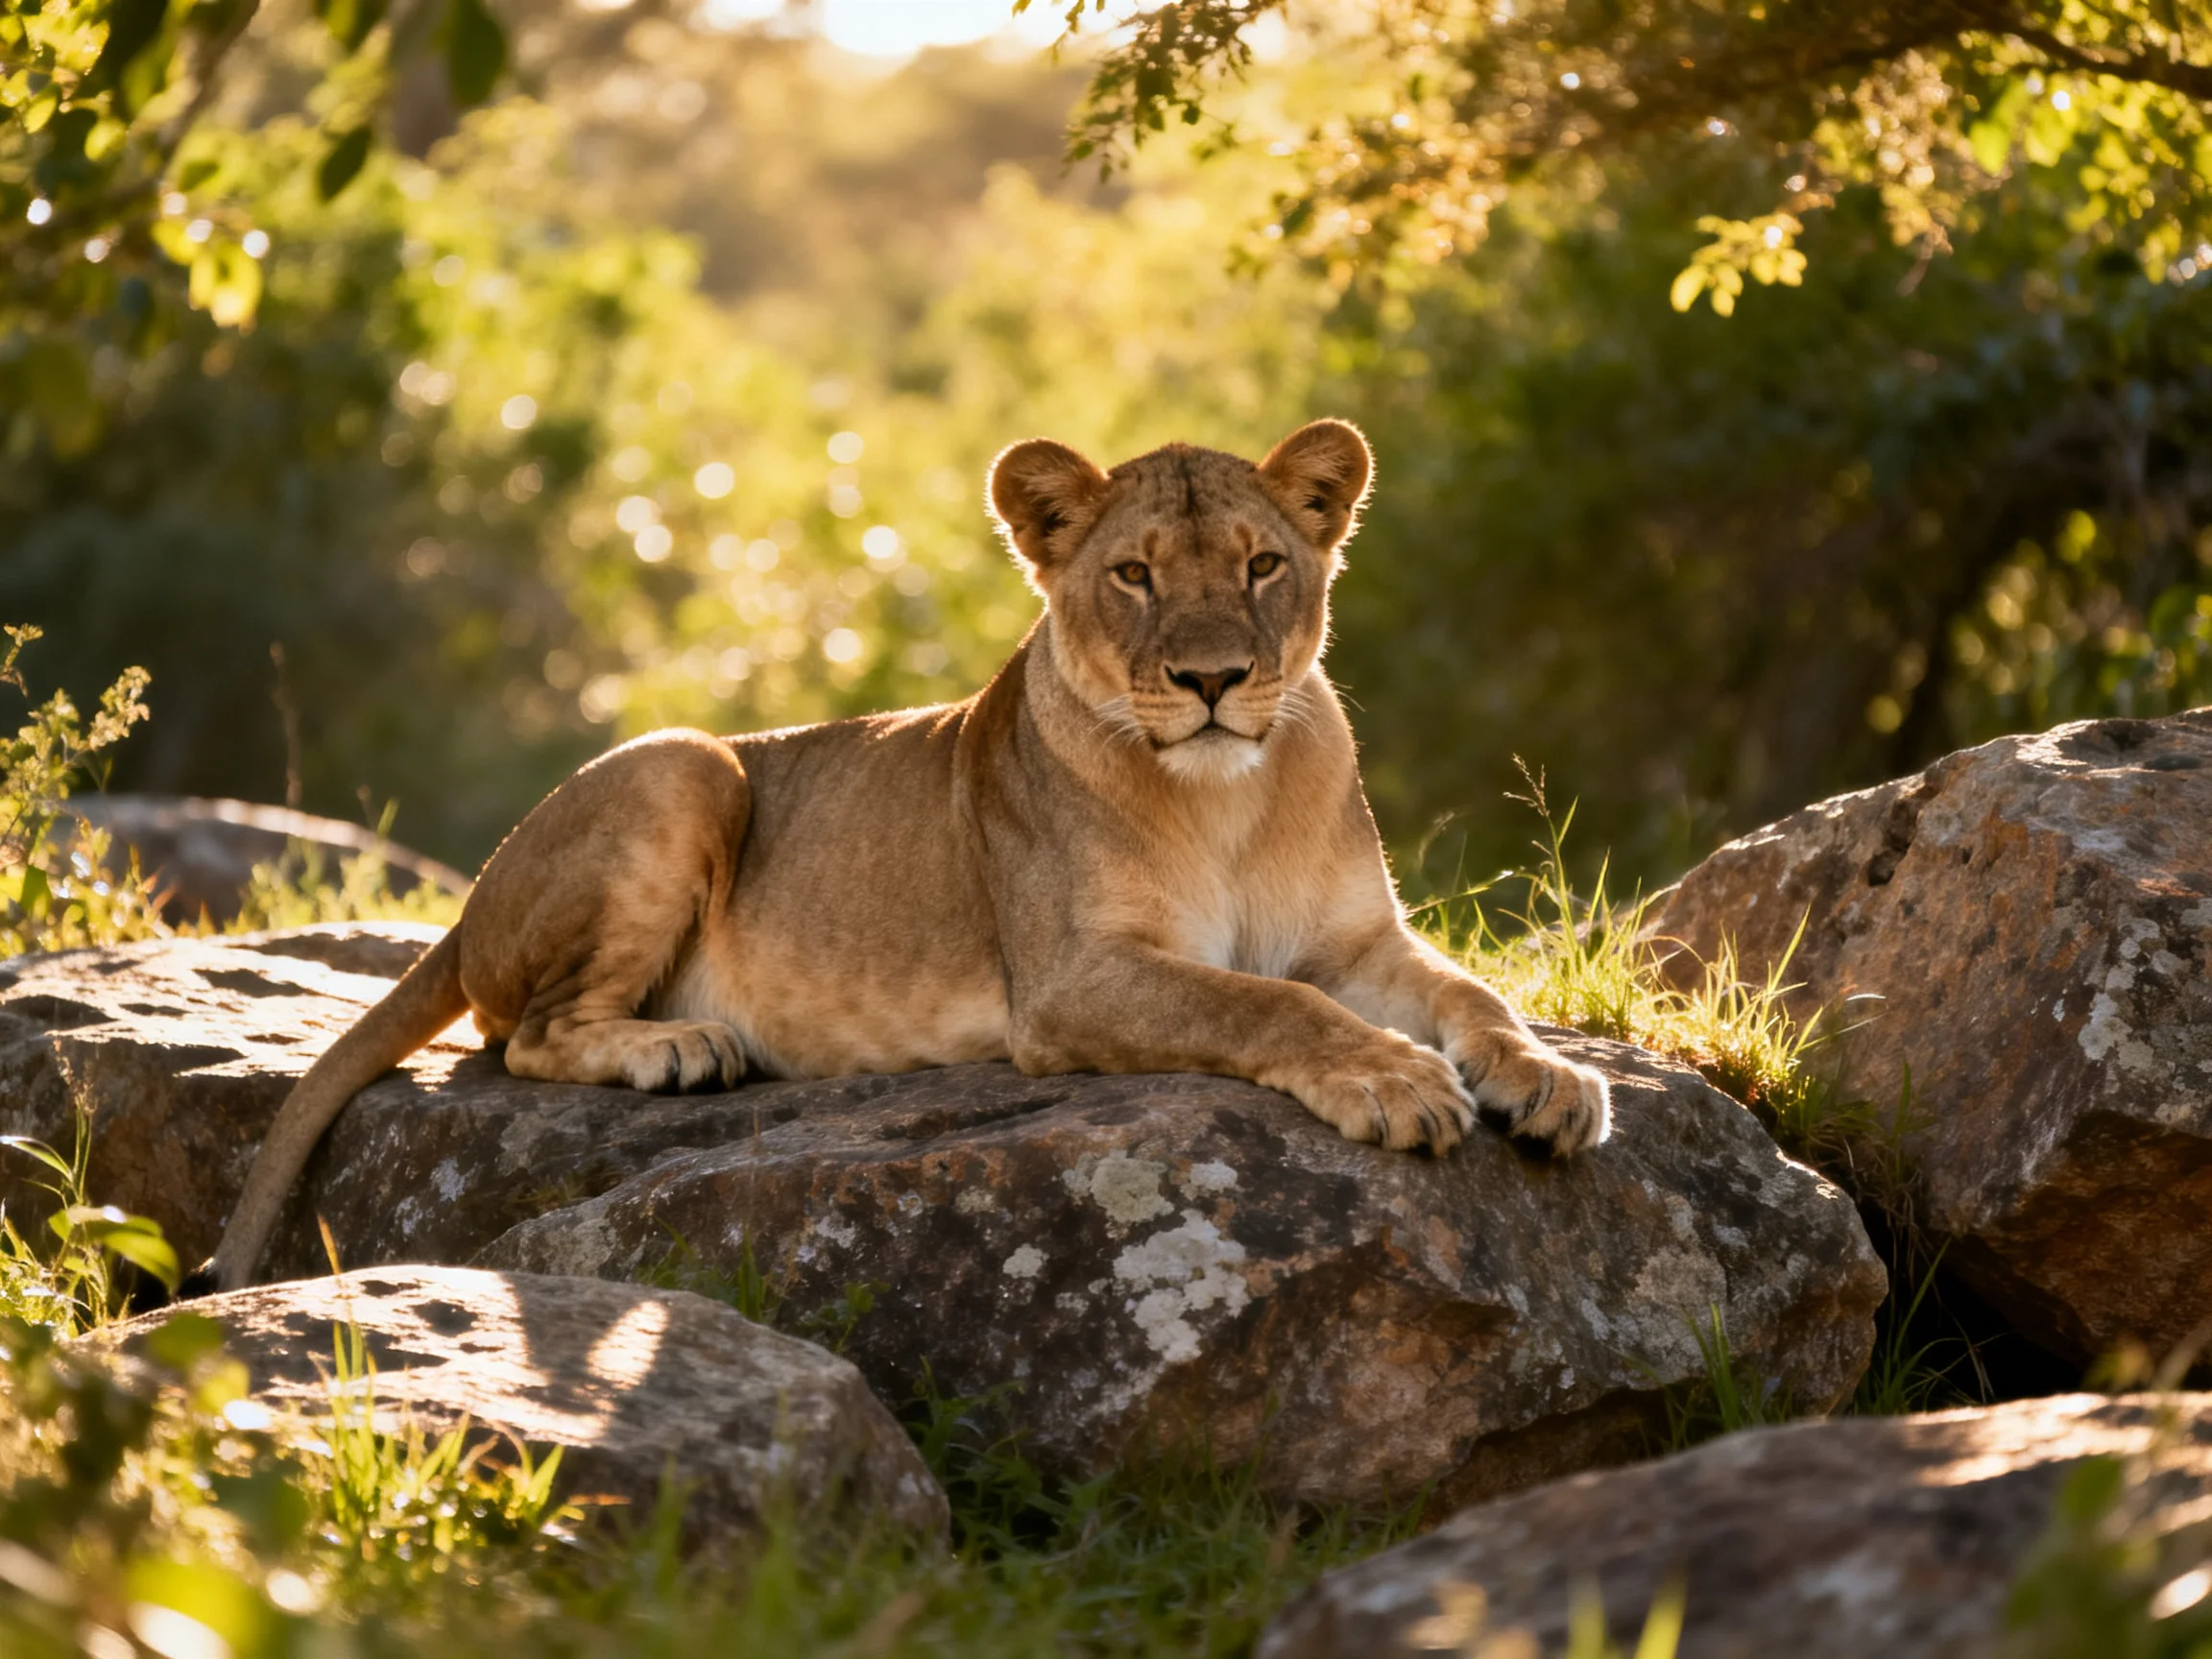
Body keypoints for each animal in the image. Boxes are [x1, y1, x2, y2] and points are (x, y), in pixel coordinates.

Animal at [197, 419, 1609, 1292]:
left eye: (1265, 564)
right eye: (1136, 577)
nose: (1213, 681)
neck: (1231, 797)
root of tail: (473, 897)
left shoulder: (1357, 940)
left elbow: (1473, 993)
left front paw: (1549, 1079)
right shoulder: (1070, 984)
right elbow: (1263, 1003)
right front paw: (1396, 1081)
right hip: (688, 763)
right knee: (524, 1036)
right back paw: (680, 1048)